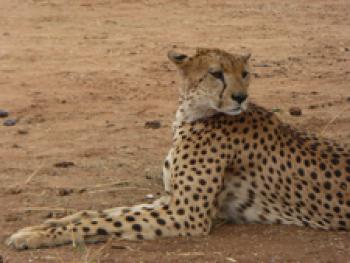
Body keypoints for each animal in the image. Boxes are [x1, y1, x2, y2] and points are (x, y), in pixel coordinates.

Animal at [6, 48, 350, 252]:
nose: (240, 97)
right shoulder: (173, 200)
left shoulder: (187, 215)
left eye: (245, 73)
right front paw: (49, 223)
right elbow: (105, 212)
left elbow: (106, 221)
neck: (191, 115)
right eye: (216, 73)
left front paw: (35, 236)